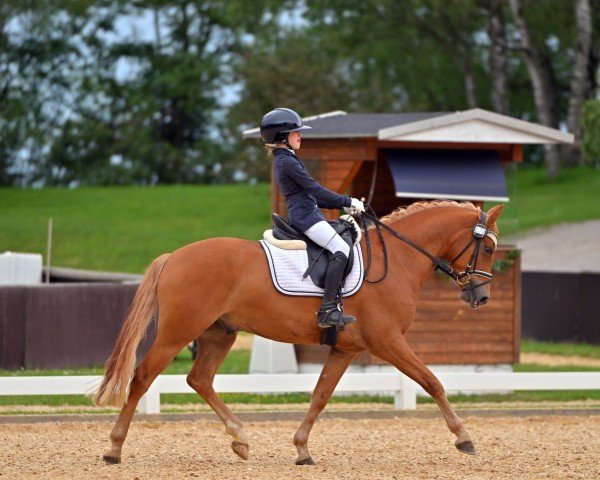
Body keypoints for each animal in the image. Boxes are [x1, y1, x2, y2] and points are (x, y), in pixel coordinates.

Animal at [94, 200, 504, 464]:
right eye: (487, 247)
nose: (482, 296)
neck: (397, 261)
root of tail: (173, 257)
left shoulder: (346, 349)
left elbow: (320, 395)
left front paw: (302, 449)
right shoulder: (387, 342)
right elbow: (433, 382)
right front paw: (464, 439)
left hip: (218, 334)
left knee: (200, 379)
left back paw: (241, 439)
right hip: (177, 332)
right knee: (142, 378)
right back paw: (114, 449)